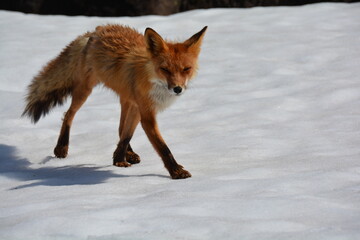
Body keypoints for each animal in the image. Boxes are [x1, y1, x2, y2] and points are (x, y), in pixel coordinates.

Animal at [22, 24, 207, 178]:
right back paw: (61, 147)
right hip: (85, 91)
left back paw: (128, 153)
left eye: (186, 69)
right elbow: (163, 148)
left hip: (127, 100)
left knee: (121, 129)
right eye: (165, 70)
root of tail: (96, 30)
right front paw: (176, 172)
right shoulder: (147, 114)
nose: (177, 89)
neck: (153, 79)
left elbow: (127, 135)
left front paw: (118, 159)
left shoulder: (140, 108)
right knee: (68, 114)